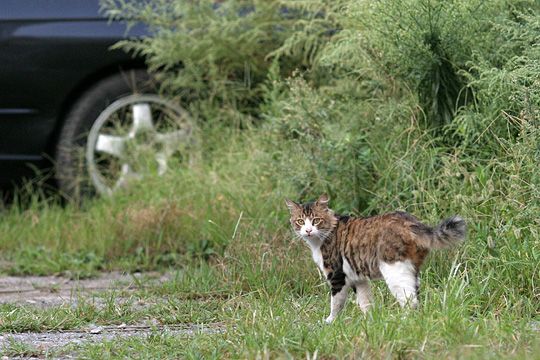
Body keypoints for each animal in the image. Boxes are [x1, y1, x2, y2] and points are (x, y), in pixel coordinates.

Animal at [284, 194, 466, 324]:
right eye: (300, 221)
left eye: (316, 220)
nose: (308, 230)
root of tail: (412, 222)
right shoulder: (358, 279)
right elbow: (366, 303)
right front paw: (370, 323)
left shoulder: (337, 276)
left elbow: (336, 303)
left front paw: (330, 321)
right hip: (411, 272)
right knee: (416, 297)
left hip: (394, 272)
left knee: (410, 302)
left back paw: (404, 322)